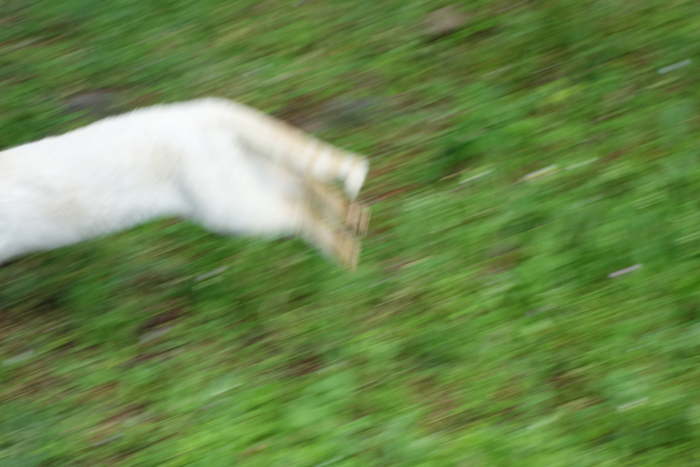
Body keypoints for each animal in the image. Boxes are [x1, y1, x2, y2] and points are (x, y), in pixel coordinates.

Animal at [0, 98, 370, 269]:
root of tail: (201, 109)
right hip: (244, 175)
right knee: (303, 183)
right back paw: (354, 219)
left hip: (227, 206)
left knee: (295, 211)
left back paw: (347, 249)